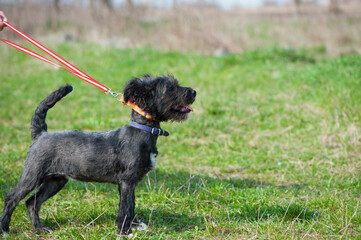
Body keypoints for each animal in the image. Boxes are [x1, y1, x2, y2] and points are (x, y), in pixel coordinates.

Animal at [0, 74, 195, 234]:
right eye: (171, 88)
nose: (194, 91)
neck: (142, 130)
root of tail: (41, 134)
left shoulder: (129, 183)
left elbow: (131, 205)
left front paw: (133, 226)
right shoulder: (127, 181)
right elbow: (125, 207)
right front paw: (123, 231)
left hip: (56, 181)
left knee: (32, 202)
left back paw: (39, 229)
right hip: (32, 175)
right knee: (12, 198)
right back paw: (5, 229)